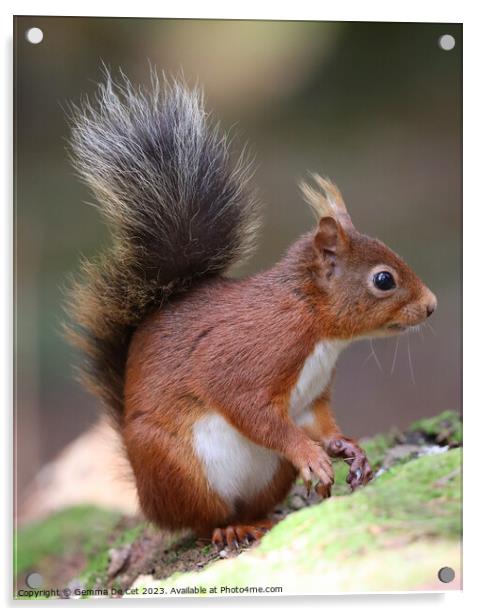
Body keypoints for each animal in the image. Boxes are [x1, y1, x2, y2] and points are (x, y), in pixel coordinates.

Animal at [66, 71, 438, 548]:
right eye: (384, 280)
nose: (431, 307)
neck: (318, 330)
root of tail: (148, 496)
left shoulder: (311, 398)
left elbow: (319, 421)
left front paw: (347, 447)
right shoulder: (252, 354)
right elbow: (251, 410)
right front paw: (310, 455)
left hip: (268, 474)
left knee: (252, 503)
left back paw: (263, 516)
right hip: (180, 468)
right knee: (202, 521)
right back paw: (231, 527)